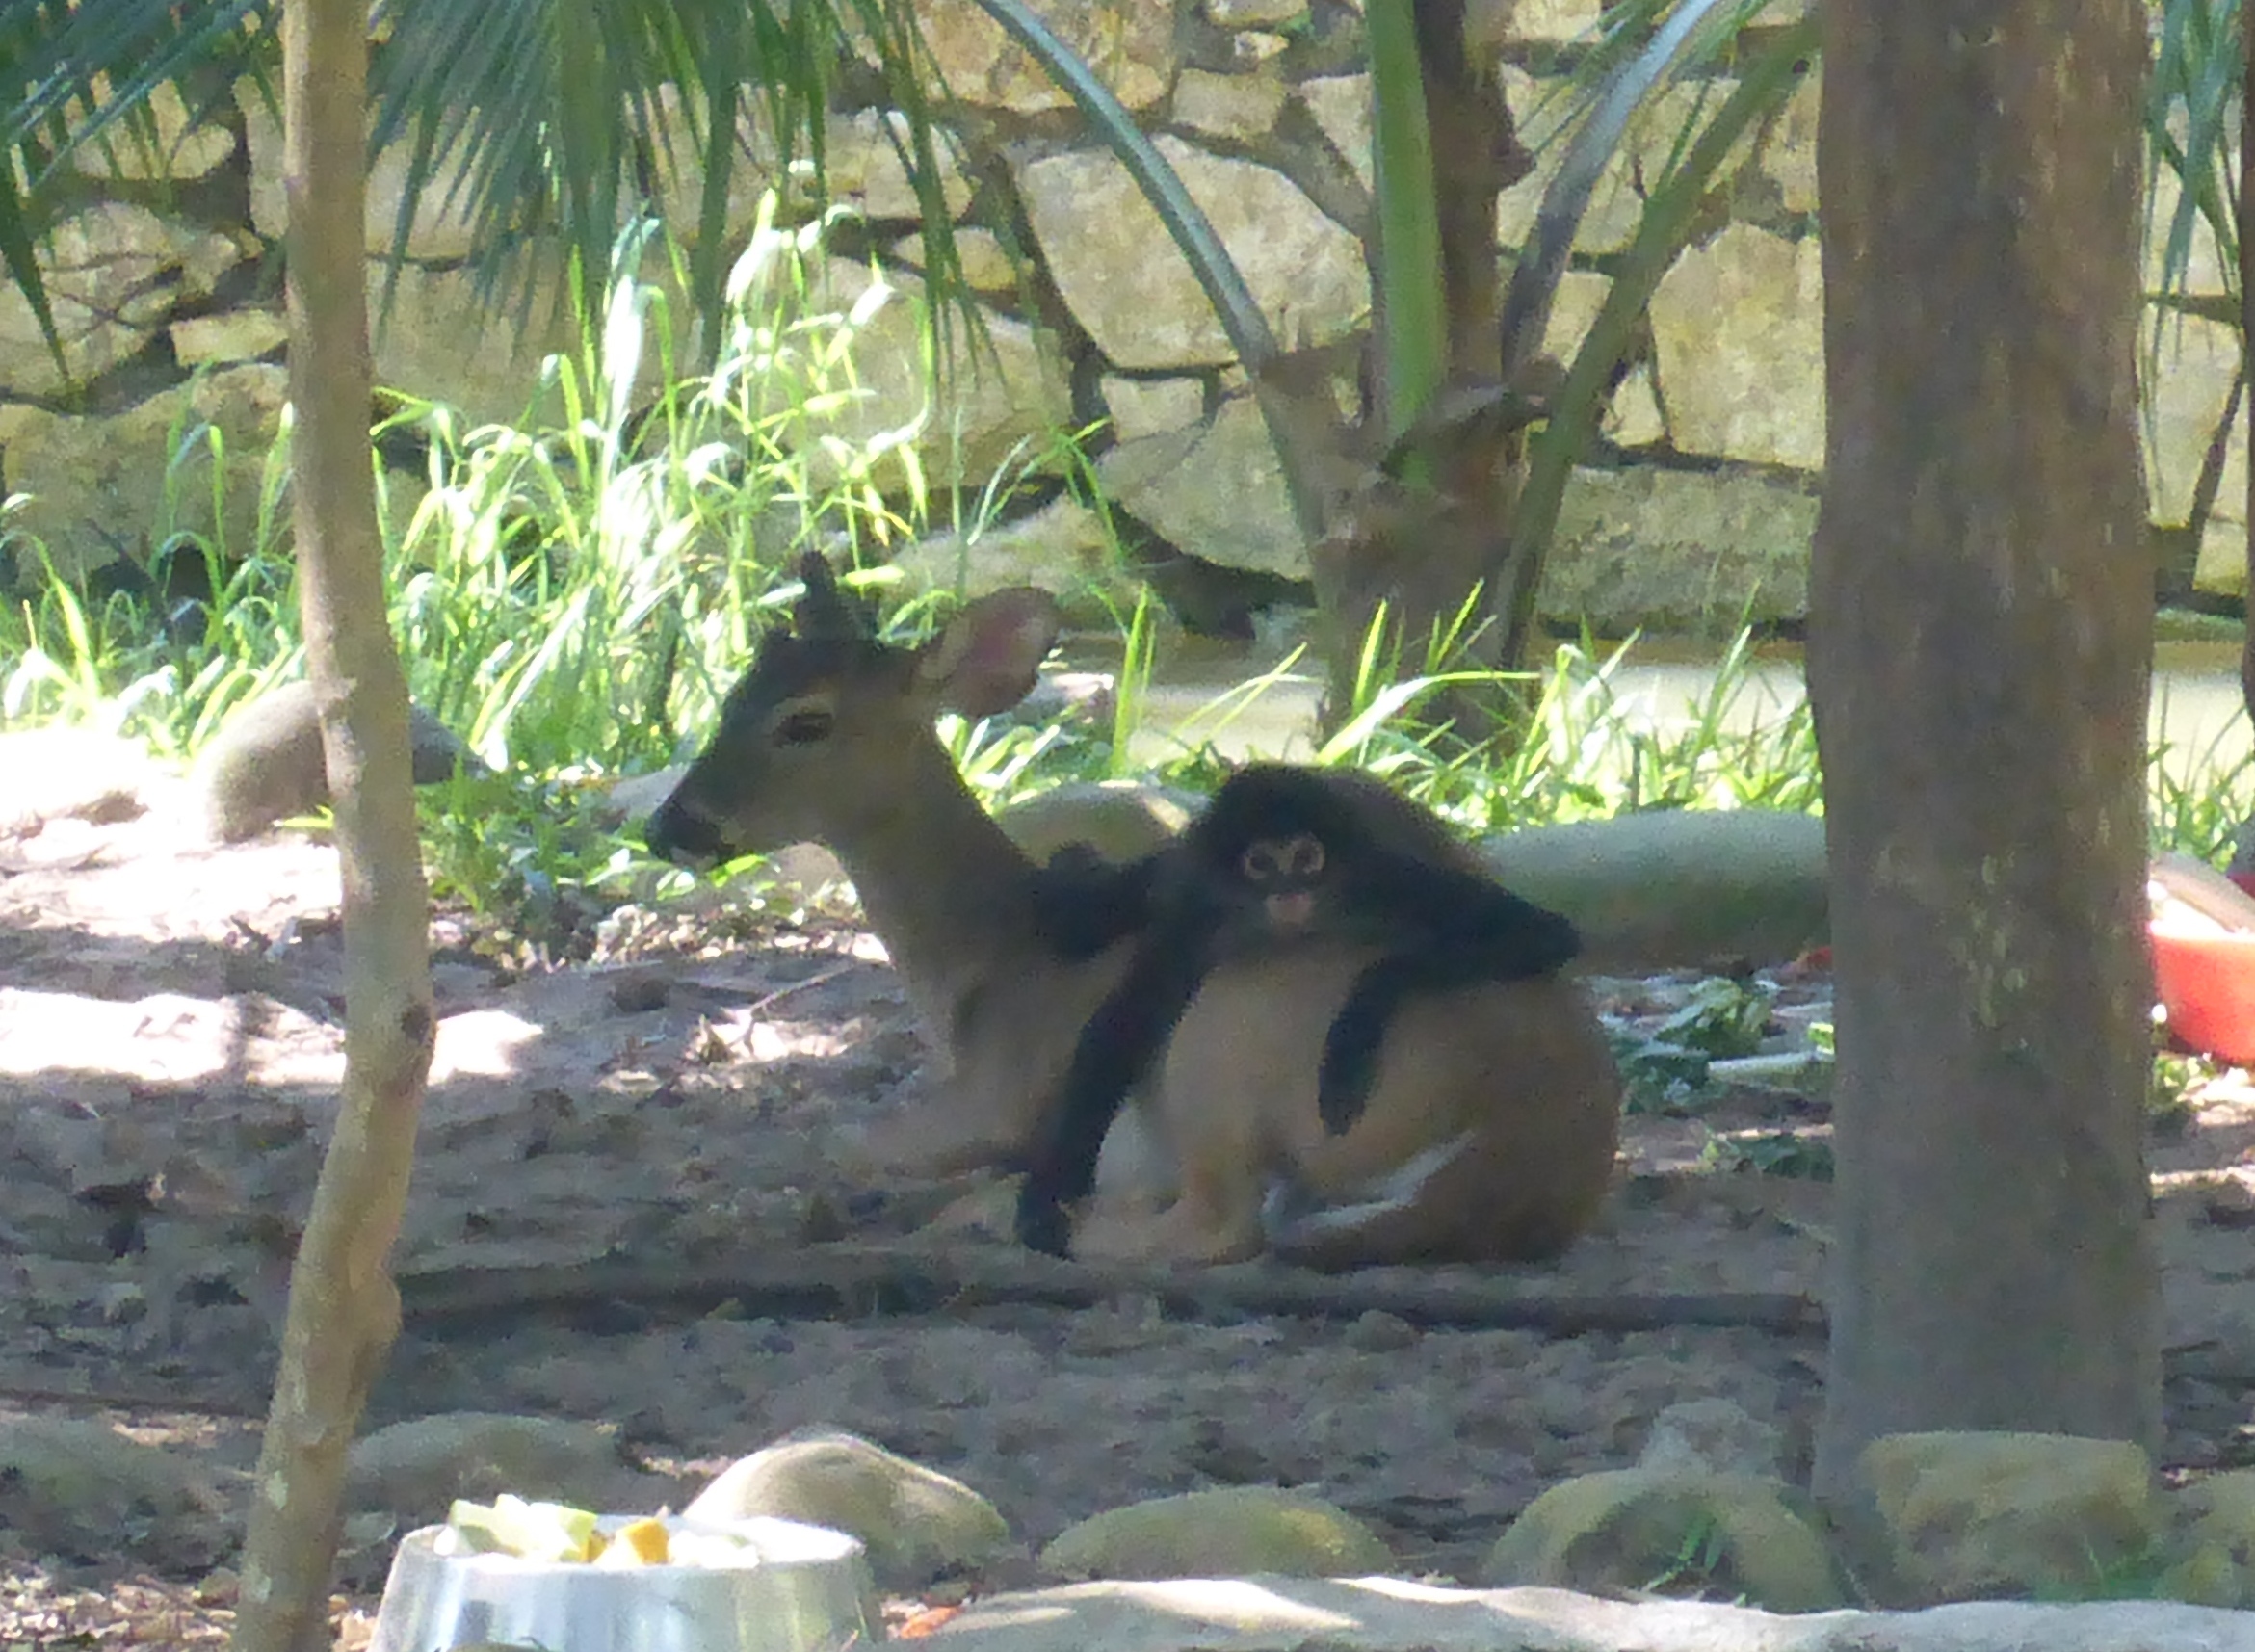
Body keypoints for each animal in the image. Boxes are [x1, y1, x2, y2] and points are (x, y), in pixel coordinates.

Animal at [1014, 766, 1578, 1252]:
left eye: (1307, 858)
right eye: (1260, 863)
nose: (1290, 890)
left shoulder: (1377, 877)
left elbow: (1545, 934)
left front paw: (1356, 1026)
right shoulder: (1196, 911)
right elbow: (1116, 1034)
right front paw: (1044, 1202)